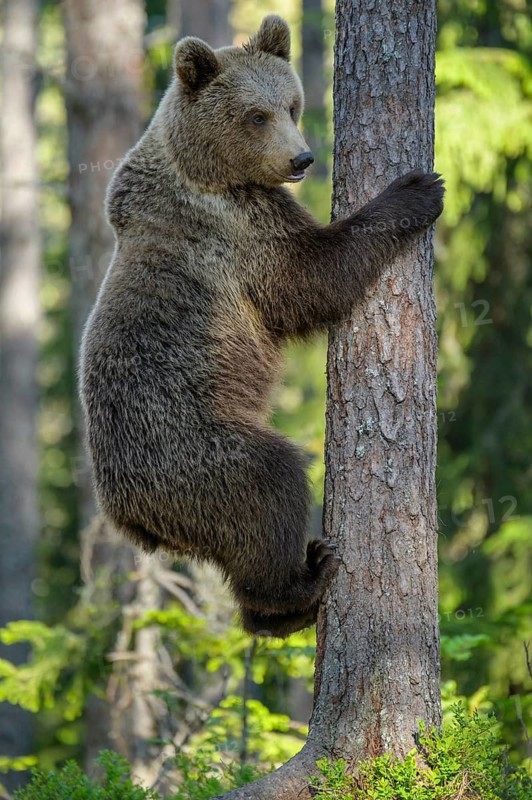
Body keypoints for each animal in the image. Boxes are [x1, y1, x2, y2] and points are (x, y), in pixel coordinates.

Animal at [79, 15, 444, 637]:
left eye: (291, 105)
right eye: (256, 115)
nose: (302, 159)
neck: (204, 171)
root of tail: (131, 517)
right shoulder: (237, 233)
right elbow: (311, 278)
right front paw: (417, 190)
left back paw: (275, 613)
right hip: (195, 451)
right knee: (268, 487)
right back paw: (302, 580)